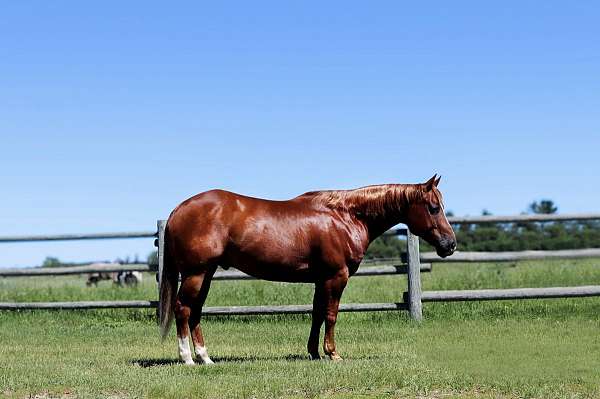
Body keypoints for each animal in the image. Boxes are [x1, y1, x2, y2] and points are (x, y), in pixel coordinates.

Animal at [159, 175, 454, 366]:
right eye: (433, 208)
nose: (450, 244)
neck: (345, 216)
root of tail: (178, 209)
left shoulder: (321, 280)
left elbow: (317, 315)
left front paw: (314, 353)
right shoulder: (336, 276)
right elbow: (331, 315)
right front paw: (332, 353)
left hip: (206, 274)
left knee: (195, 311)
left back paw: (206, 358)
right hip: (196, 274)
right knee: (183, 309)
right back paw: (187, 359)